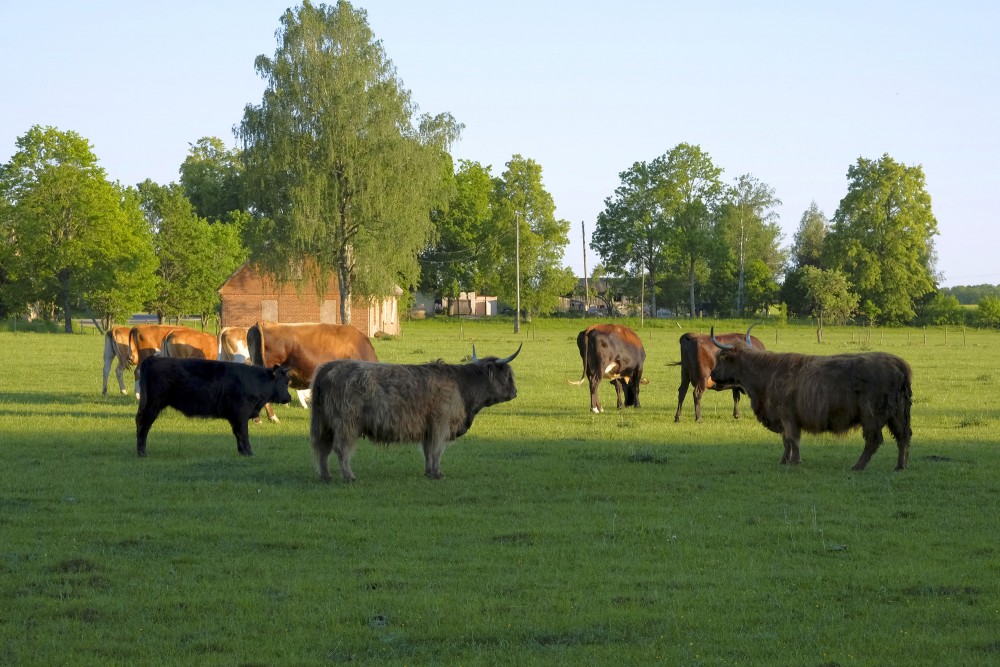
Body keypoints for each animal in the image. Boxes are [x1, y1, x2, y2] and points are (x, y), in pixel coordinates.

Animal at [135, 356, 292, 457]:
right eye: (285, 382)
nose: (289, 397)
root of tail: (153, 359)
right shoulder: (241, 414)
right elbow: (244, 433)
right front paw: (249, 453)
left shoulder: (234, 417)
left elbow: (238, 434)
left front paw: (242, 452)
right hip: (152, 405)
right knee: (143, 425)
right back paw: (142, 453)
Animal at [310, 344, 521, 482]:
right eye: (507, 375)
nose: (515, 392)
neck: (462, 385)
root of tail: (328, 367)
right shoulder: (441, 425)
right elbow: (436, 451)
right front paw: (437, 473)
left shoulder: (428, 428)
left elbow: (428, 451)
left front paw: (429, 472)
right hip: (347, 424)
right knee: (340, 448)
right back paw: (349, 476)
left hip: (324, 424)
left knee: (322, 449)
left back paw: (326, 476)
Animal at [709, 327, 913, 471]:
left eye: (722, 358)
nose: (711, 374)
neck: (766, 375)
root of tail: (897, 362)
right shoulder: (783, 418)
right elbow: (786, 440)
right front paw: (784, 460)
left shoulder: (787, 415)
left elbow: (792, 439)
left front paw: (794, 461)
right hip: (897, 413)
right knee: (903, 436)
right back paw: (900, 466)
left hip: (871, 415)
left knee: (873, 440)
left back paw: (858, 466)